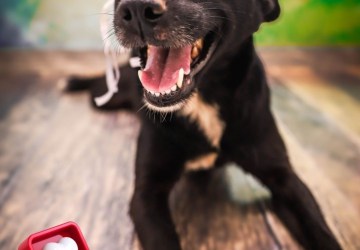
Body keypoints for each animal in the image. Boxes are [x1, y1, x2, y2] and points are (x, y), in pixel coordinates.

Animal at [67, 0, 340, 250]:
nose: (135, 10)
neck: (202, 99)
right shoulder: (146, 193)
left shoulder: (283, 177)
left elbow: (322, 232)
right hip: (104, 96)